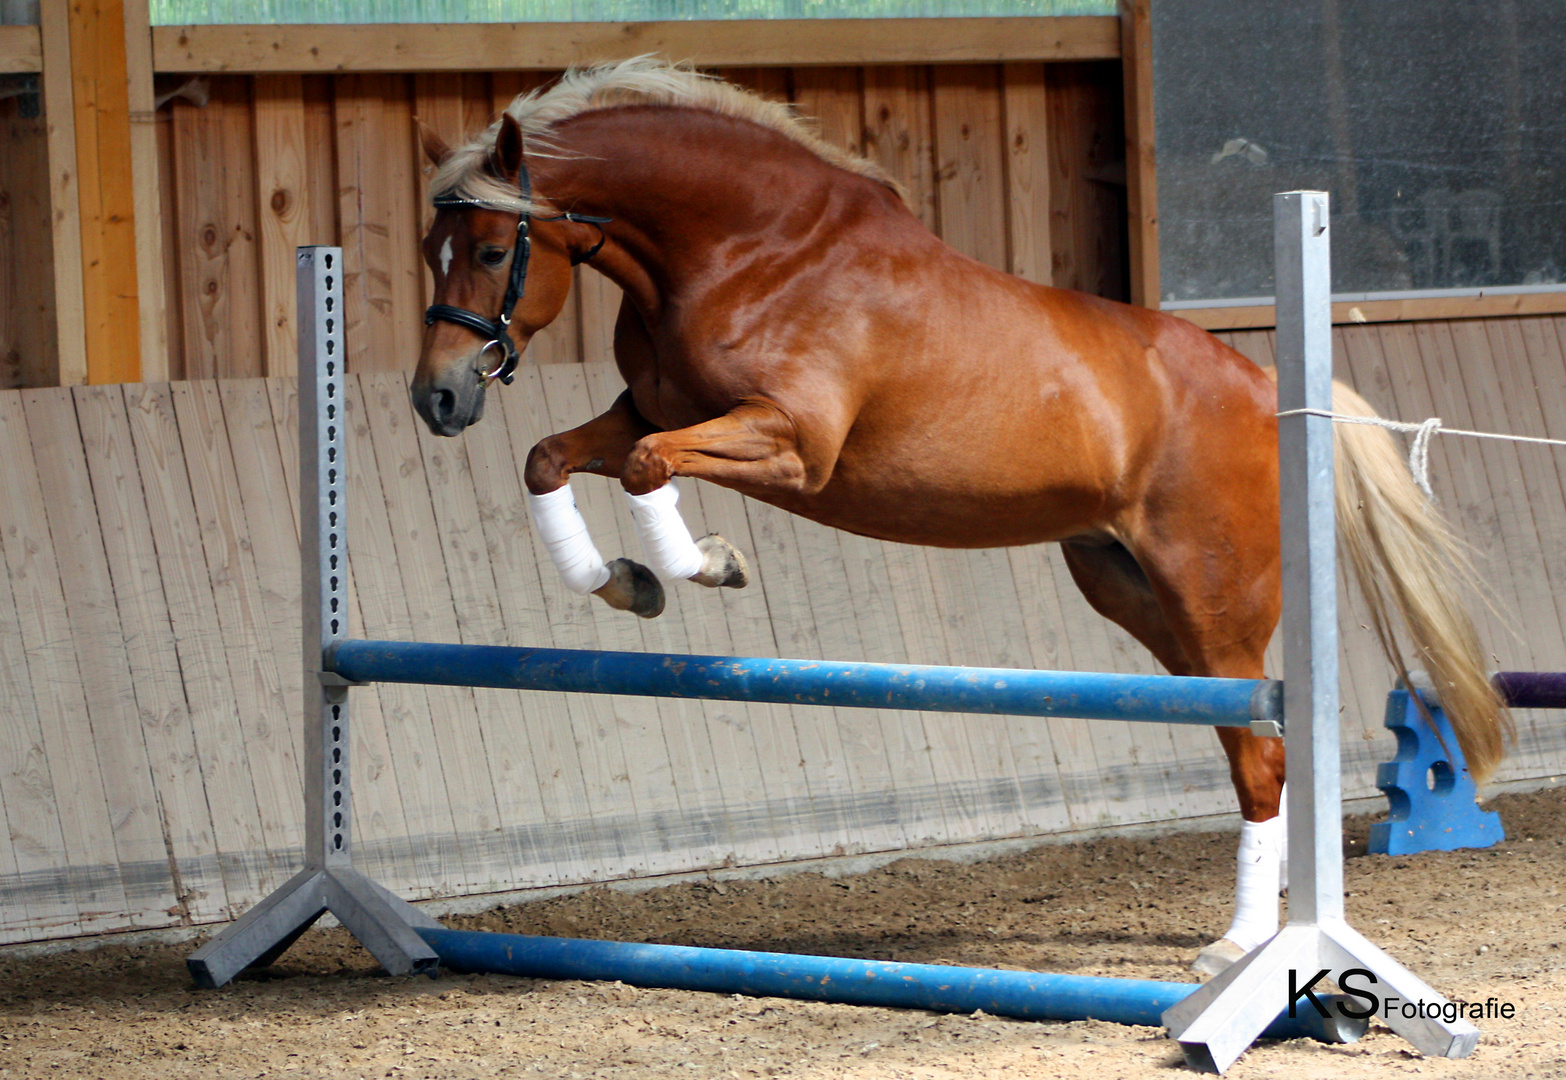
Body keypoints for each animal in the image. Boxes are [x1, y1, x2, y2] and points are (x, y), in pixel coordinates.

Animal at [410, 61, 1509, 976]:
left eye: (495, 249)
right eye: (430, 250)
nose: (438, 399)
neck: (746, 251)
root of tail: (1270, 388)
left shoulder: (792, 445)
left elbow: (645, 472)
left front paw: (707, 563)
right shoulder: (651, 409)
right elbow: (551, 457)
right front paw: (626, 586)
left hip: (1213, 601)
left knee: (1264, 754)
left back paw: (1239, 945)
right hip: (1133, 592)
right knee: (1248, 745)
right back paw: (1268, 913)